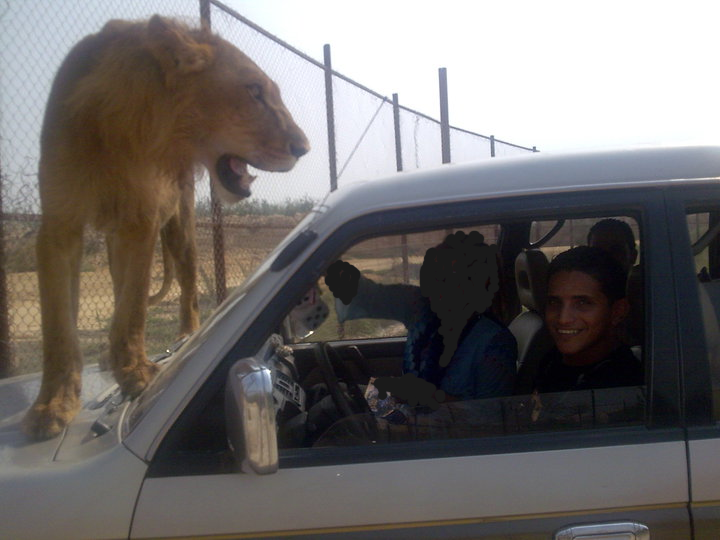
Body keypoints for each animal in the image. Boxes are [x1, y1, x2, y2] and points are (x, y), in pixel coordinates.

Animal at [24, 15, 309, 439]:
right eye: (254, 91)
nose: (304, 148)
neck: (122, 127)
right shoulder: (59, 224)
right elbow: (58, 327)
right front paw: (53, 405)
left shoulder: (140, 221)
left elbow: (132, 312)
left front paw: (136, 374)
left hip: (180, 230)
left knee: (188, 291)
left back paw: (185, 338)